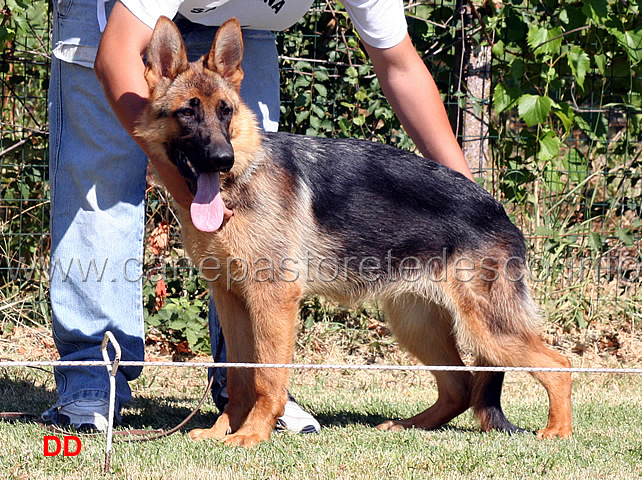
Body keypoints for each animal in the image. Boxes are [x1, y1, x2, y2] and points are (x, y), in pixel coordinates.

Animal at [136, 16, 568, 448]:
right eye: (187, 112)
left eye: (225, 112)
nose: (222, 159)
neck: (240, 179)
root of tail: (499, 212)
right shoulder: (232, 301)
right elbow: (240, 376)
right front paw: (222, 430)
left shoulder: (272, 301)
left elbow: (266, 377)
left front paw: (252, 434)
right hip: (418, 326)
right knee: (459, 387)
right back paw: (410, 426)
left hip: (486, 329)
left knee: (558, 364)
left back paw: (558, 431)